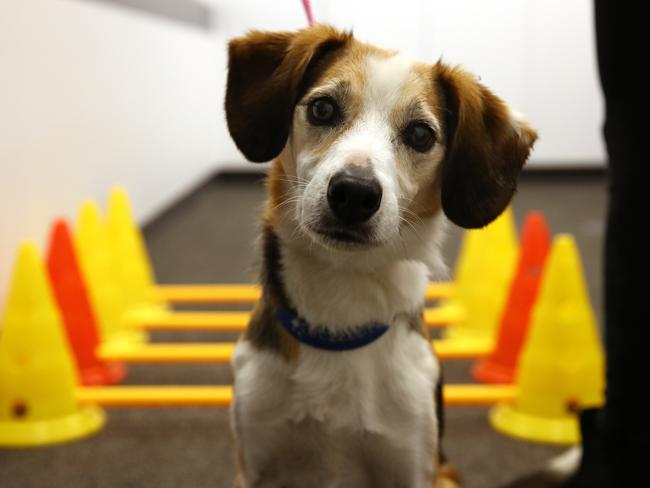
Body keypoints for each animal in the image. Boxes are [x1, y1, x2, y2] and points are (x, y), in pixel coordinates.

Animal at [223, 24, 536, 486]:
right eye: (322, 109)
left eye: (421, 135)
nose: (354, 193)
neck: (341, 312)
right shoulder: (254, 463)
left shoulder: (411, 464)